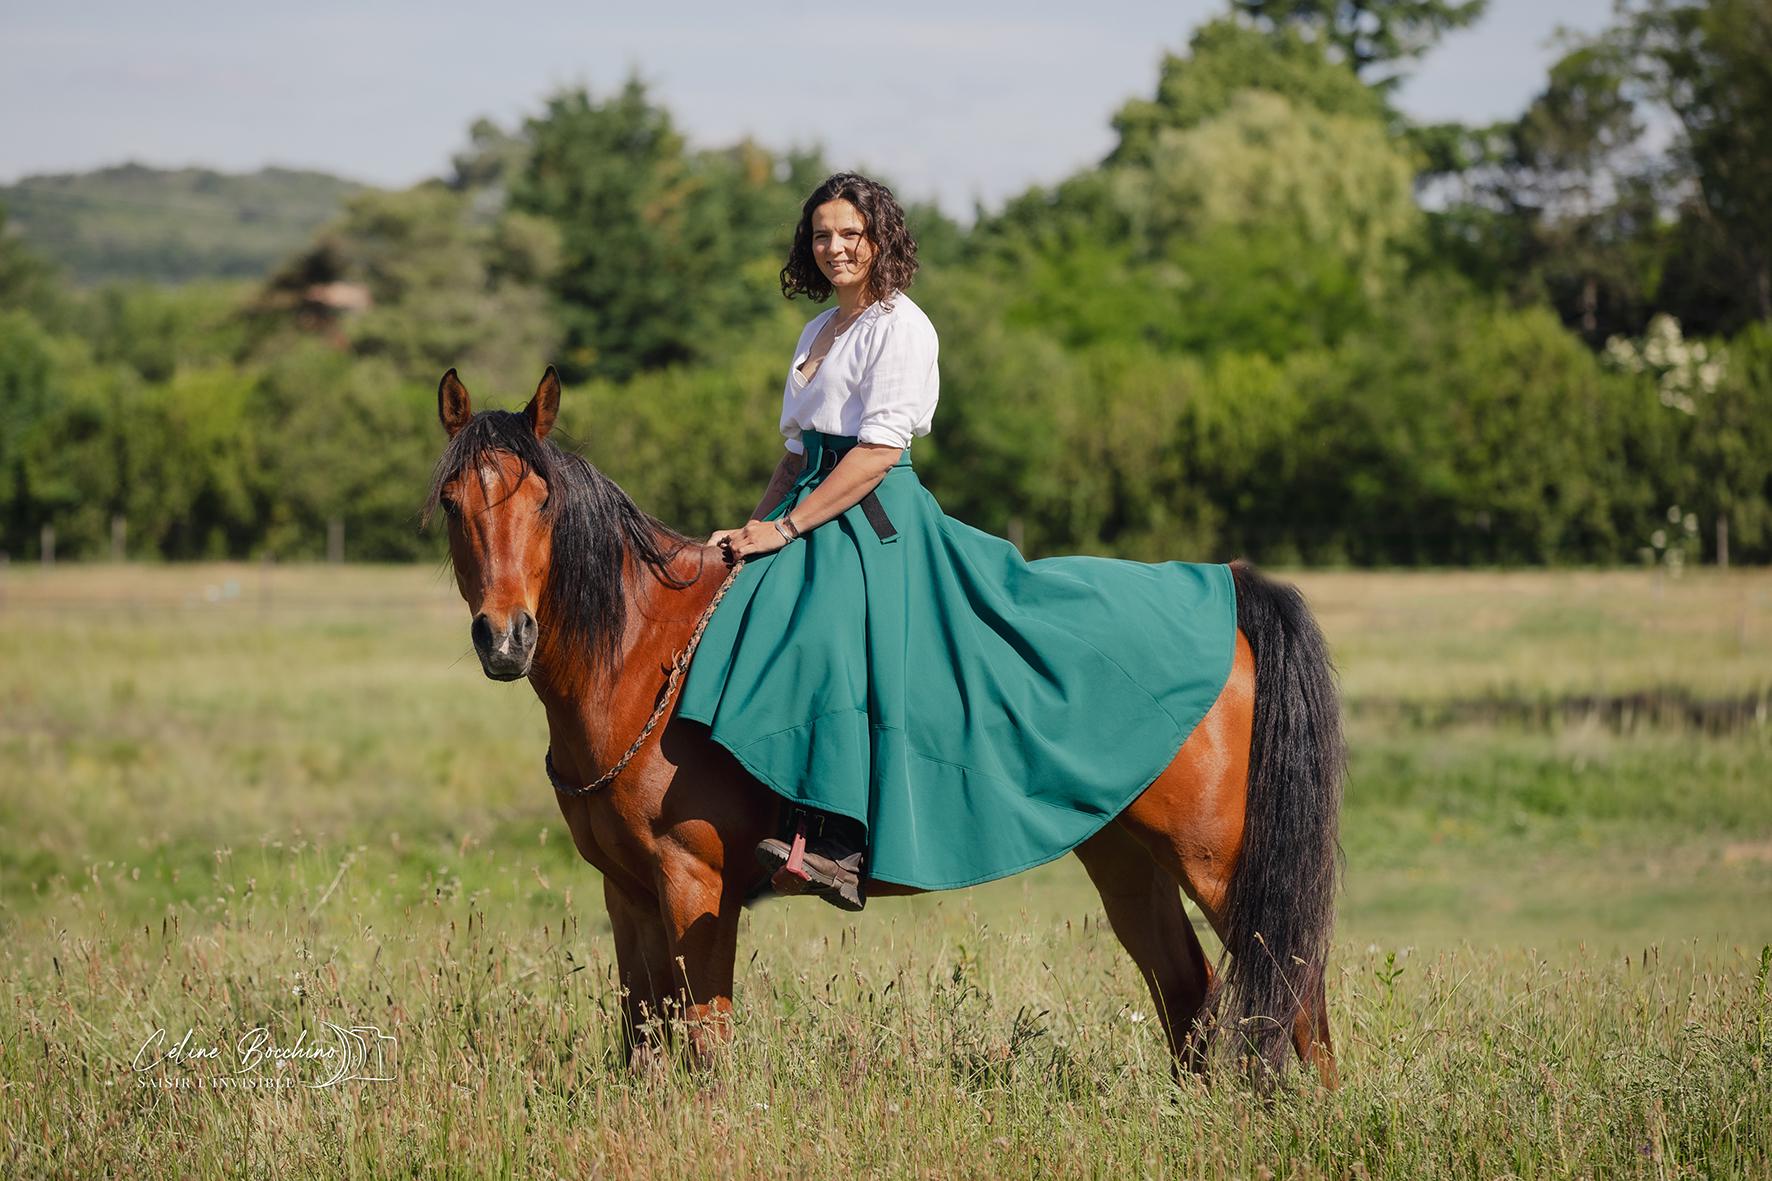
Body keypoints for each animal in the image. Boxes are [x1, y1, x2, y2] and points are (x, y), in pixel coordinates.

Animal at [425, 366, 1345, 1083]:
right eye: (453, 503)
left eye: (543, 501)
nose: (506, 637)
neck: (644, 652)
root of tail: (1225, 589)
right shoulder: (627, 891)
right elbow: (642, 1044)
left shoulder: (696, 884)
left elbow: (705, 1048)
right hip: (1127, 857)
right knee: (1189, 992)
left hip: (1217, 859)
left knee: (1299, 991)